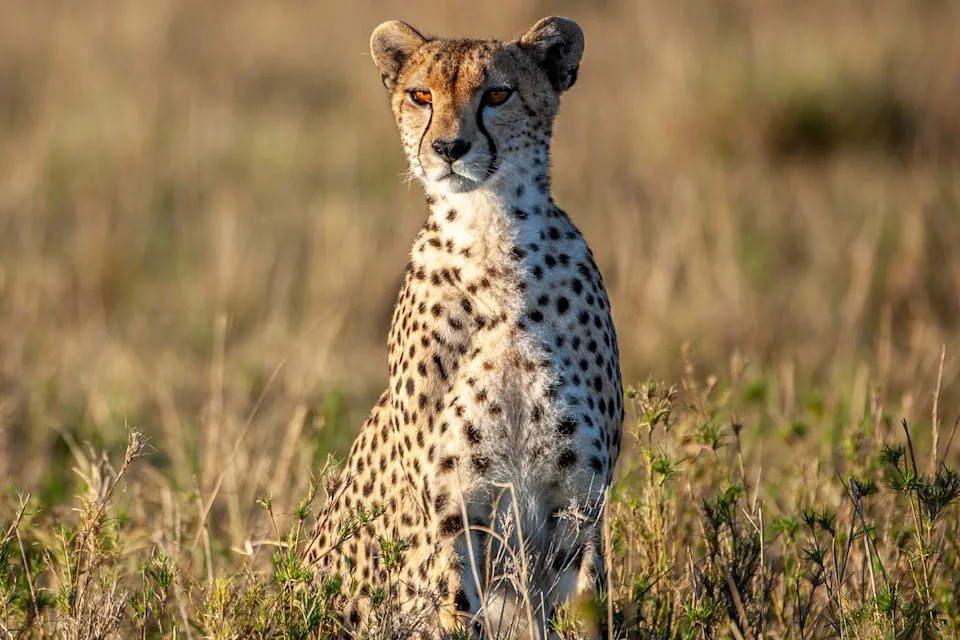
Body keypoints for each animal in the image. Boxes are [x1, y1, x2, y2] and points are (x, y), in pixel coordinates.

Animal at [305, 16, 624, 639]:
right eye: (420, 95)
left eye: (497, 94)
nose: (449, 148)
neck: (492, 237)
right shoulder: (453, 512)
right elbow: (457, 605)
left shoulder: (579, 505)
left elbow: (584, 610)